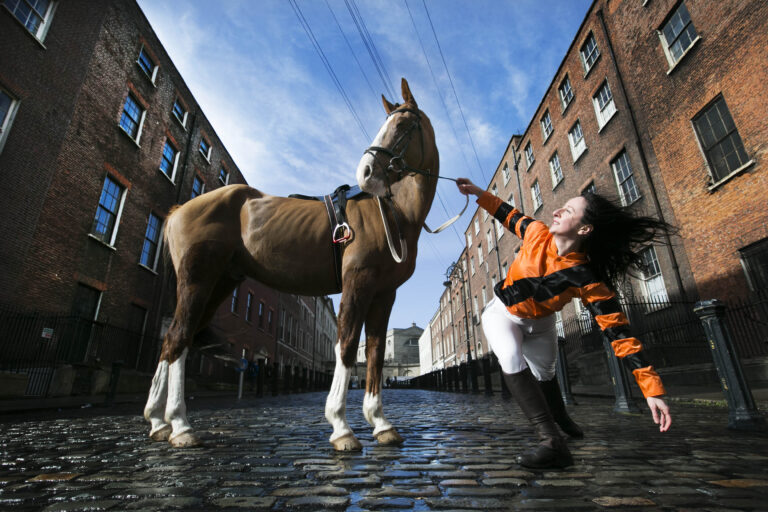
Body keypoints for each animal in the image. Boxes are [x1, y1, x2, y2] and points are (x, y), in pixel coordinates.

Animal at [143, 78, 439, 450]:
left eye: (401, 126)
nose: (366, 172)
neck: (393, 214)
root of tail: (179, 210)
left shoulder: (384, 293)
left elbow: (373, 352)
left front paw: (381, 423)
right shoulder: (358, 283)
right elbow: (346, 346)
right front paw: (341, 425)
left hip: (219, 283)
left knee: (173, 340)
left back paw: (158, 421)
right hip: (197, 280)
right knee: (179, 338)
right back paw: (180, 424)